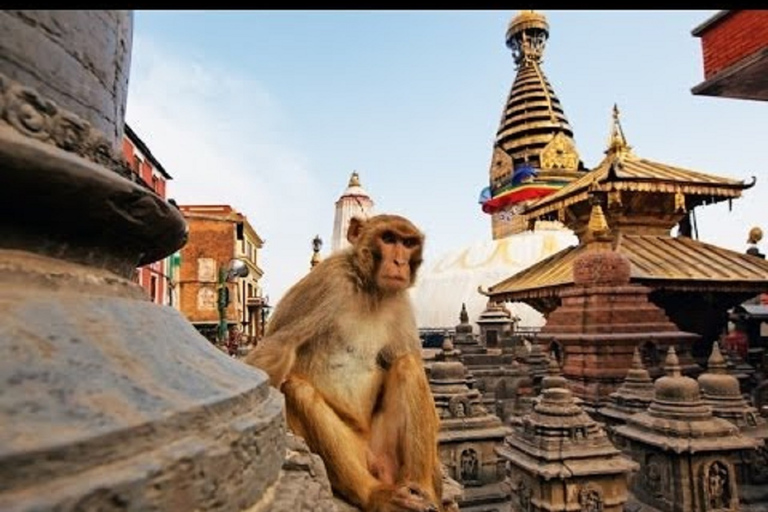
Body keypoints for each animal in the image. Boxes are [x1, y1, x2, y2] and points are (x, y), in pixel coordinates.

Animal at [246, 215, 444, 512]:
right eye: (388, 239)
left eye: (408, 243)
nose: (399, 262)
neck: (371, 290)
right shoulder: (328, 282)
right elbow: (276, 349)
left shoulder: (401, 304)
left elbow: (409, 360)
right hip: (355, 451)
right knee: (296, 389)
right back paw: (374, 494)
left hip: (385, 450)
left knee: (407, 364)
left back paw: (420, 488)